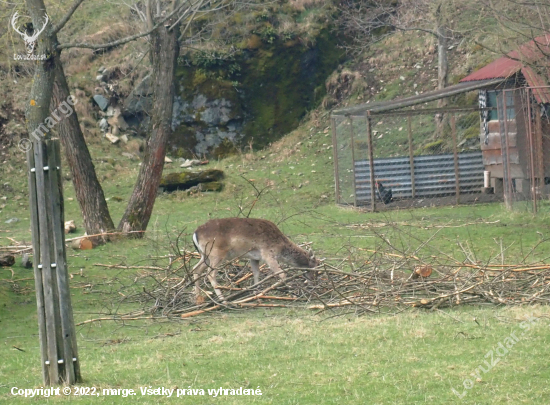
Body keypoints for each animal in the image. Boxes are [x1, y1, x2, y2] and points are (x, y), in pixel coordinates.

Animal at [192, 218, 320, 300]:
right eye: (314, 268)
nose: (314, 284)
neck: (280, 247)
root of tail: (195, 233)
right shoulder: (268, 254)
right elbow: (282, 274)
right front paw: (290, 291)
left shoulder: (254, 258)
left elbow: (256, 274)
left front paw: (257, 294)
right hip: (216, 253)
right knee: (210, 273)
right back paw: (223, 301)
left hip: (205, 256)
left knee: (196, 269)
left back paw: (198, 299)